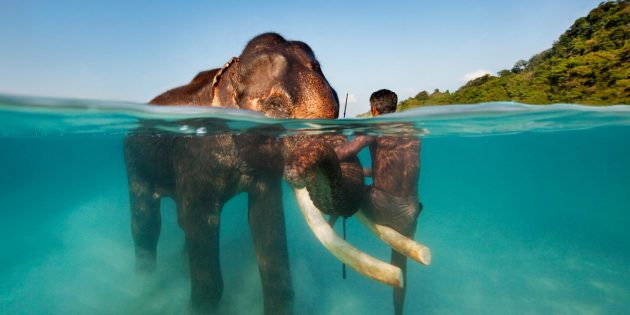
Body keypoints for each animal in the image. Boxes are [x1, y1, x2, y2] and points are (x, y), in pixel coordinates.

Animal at [123, 33, 430, 314]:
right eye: (275, 108)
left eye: (336, 103)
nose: (296, 169)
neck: (228, 73)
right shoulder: (195, 155)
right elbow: (200, 221)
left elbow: (267, 224)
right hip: (133, 161)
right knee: (148, 223)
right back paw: (145, 284)